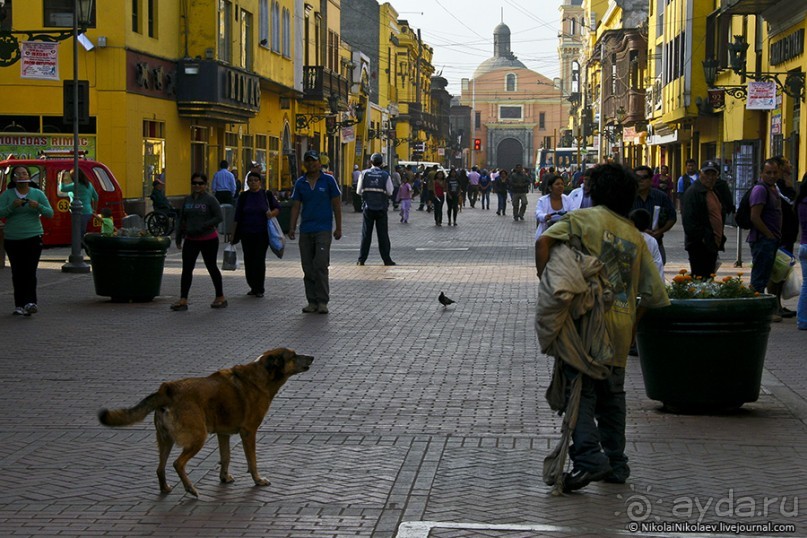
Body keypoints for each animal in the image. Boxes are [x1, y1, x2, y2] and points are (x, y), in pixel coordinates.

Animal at [99, 348, 314, 494]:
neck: (261, 375)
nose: (312, 357)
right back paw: (190, 489)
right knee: (178, 463)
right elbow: (252, 461)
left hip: (165, 440)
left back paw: (166, 488)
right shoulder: (248, 432)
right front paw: (258, 480)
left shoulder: (223, 433)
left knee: (160, 468)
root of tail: (167, 390)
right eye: (293, 356)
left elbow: (225, 457)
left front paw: (224, 477)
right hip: (197, 437)